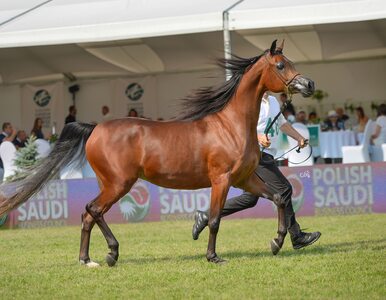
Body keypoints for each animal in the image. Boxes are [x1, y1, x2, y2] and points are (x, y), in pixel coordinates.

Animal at [0, 39, 314, 264]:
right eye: (280, 65)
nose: (308, 84)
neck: (231, 125)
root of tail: (95, 127)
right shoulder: (221, 180)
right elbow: (214, 219)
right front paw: (213, 257)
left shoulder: (244, 179)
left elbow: (279, 198)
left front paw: (277, 242)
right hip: (119, 184)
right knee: (93, 210)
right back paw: (111, 253)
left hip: (109, 183)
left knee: (88, 216)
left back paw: (88, 260)